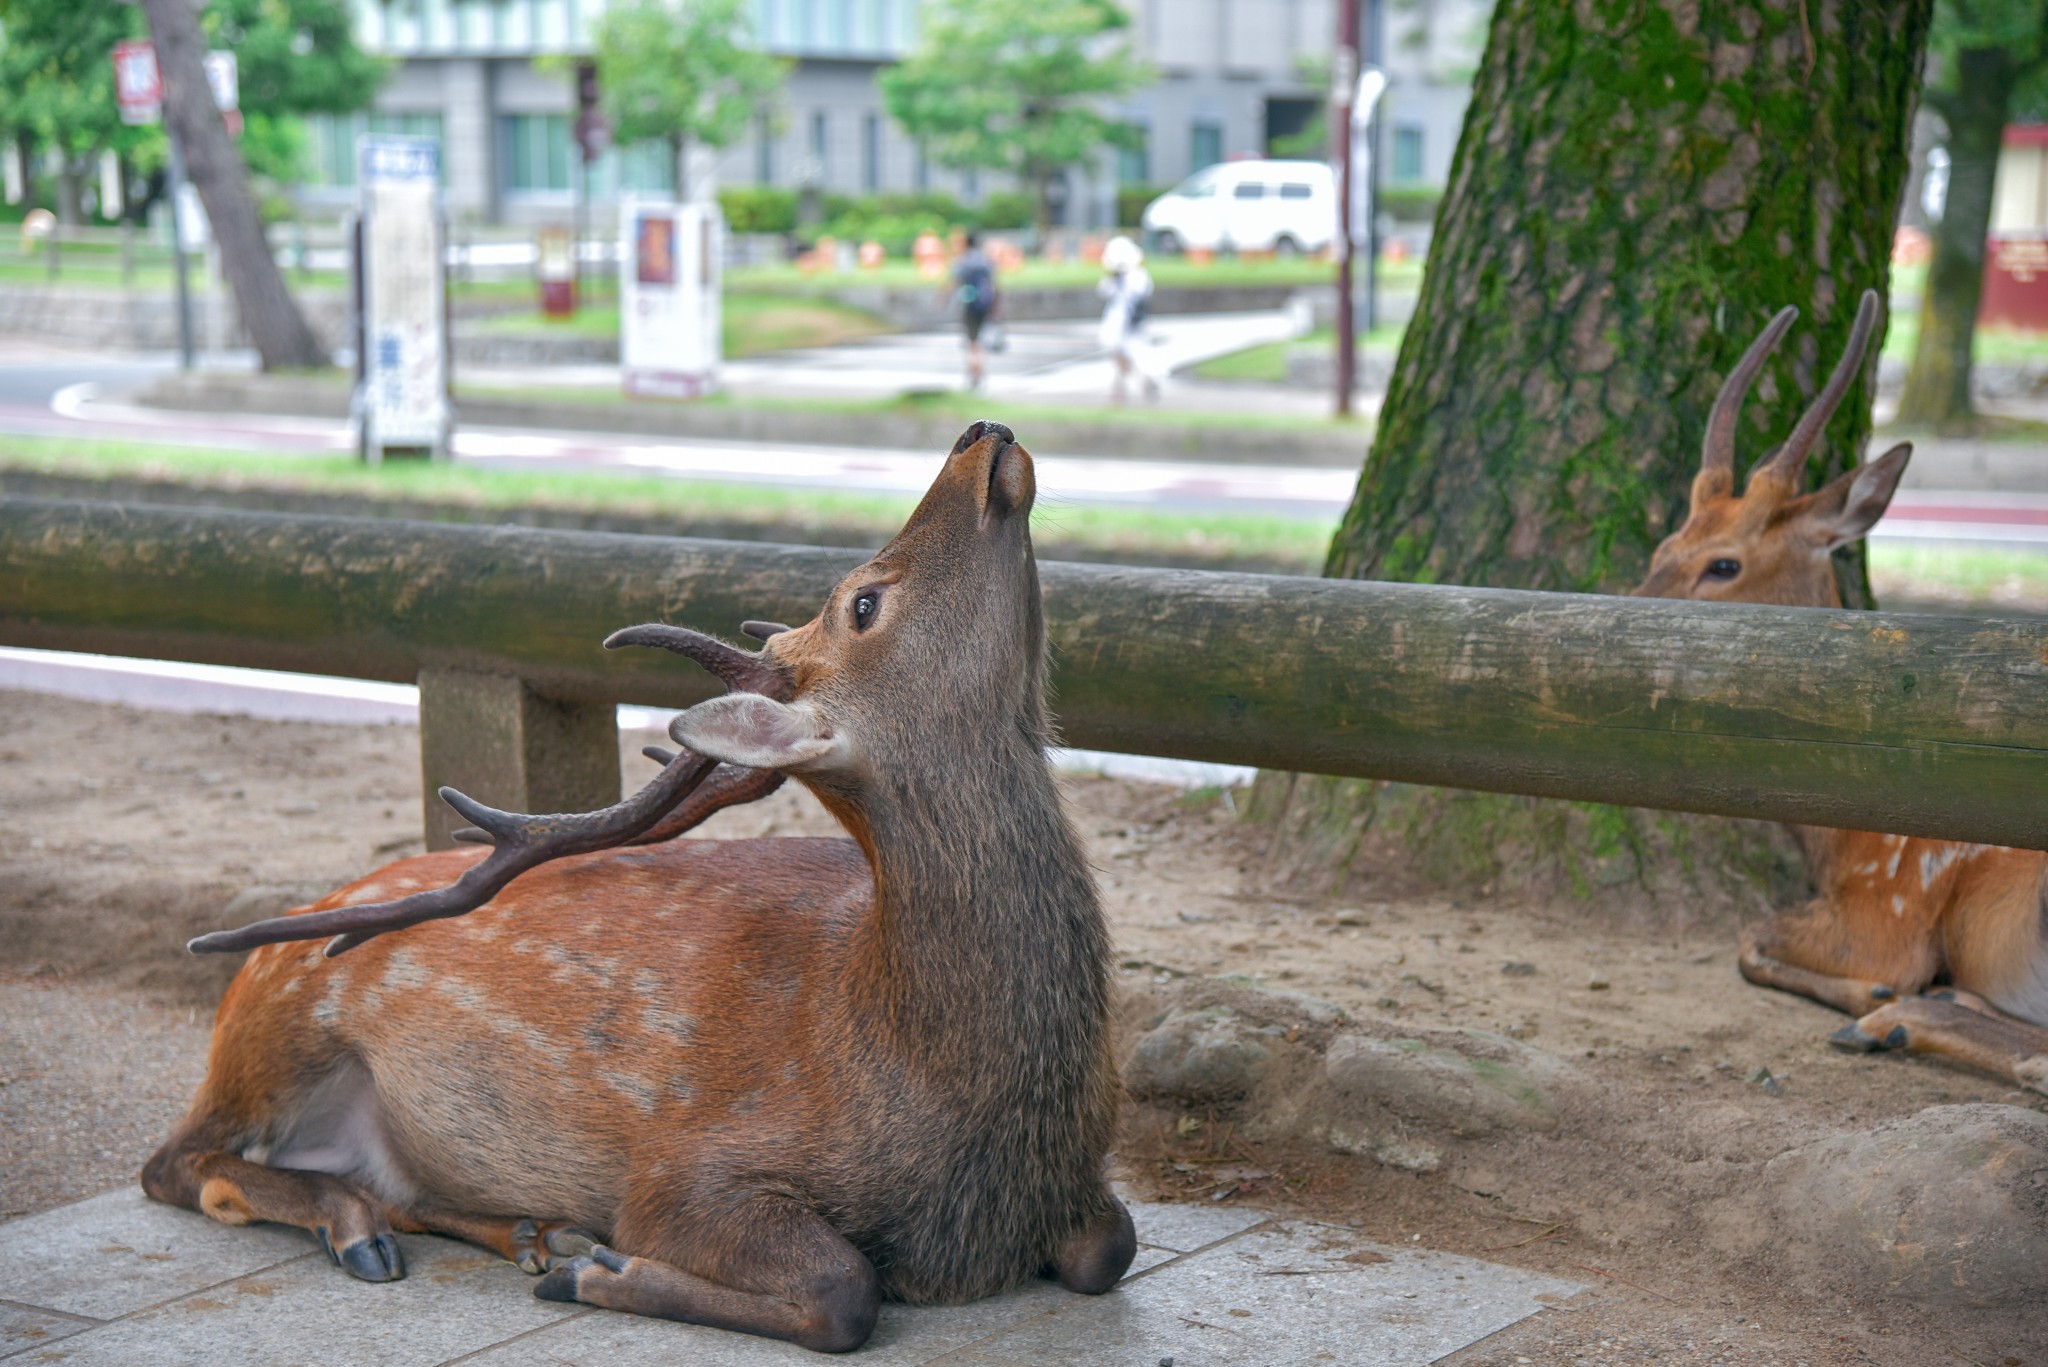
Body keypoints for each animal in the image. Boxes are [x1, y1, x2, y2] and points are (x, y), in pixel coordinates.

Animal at [144, 424, 1138, 1360]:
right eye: (865, 602)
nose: (980, 435)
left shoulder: (1080, 1182)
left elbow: (1112, 1245)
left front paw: (578, 1259)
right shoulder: (686, 1168)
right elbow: (844, 1287)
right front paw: (605, 1270)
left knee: (381, 1181)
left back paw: (531, 1230)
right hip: (280, 1014)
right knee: (176, 1162)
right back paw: (366, 1228)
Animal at [1630, 291, 2048, 1098]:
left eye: (1723, 564)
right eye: (1663, 548)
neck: (1838, 836)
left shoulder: (1887, 908)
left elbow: (1751, 934)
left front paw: (1875, 992)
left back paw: (1889, 1019)